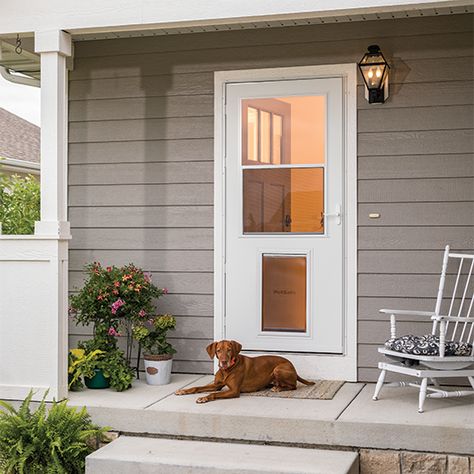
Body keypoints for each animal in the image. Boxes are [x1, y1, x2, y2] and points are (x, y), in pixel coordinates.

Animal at [175, 336, 314, 404]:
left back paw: (278, 388)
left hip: (278, 369)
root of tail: (293, 367)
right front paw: (183, 391)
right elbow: (197, 387)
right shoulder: (216, 385)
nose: (224, 362)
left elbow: (214, 394)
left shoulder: (234, 391)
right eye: (218, 350)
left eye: (229, 350)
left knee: (293, 386)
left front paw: (204, 398)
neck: (227, 370)